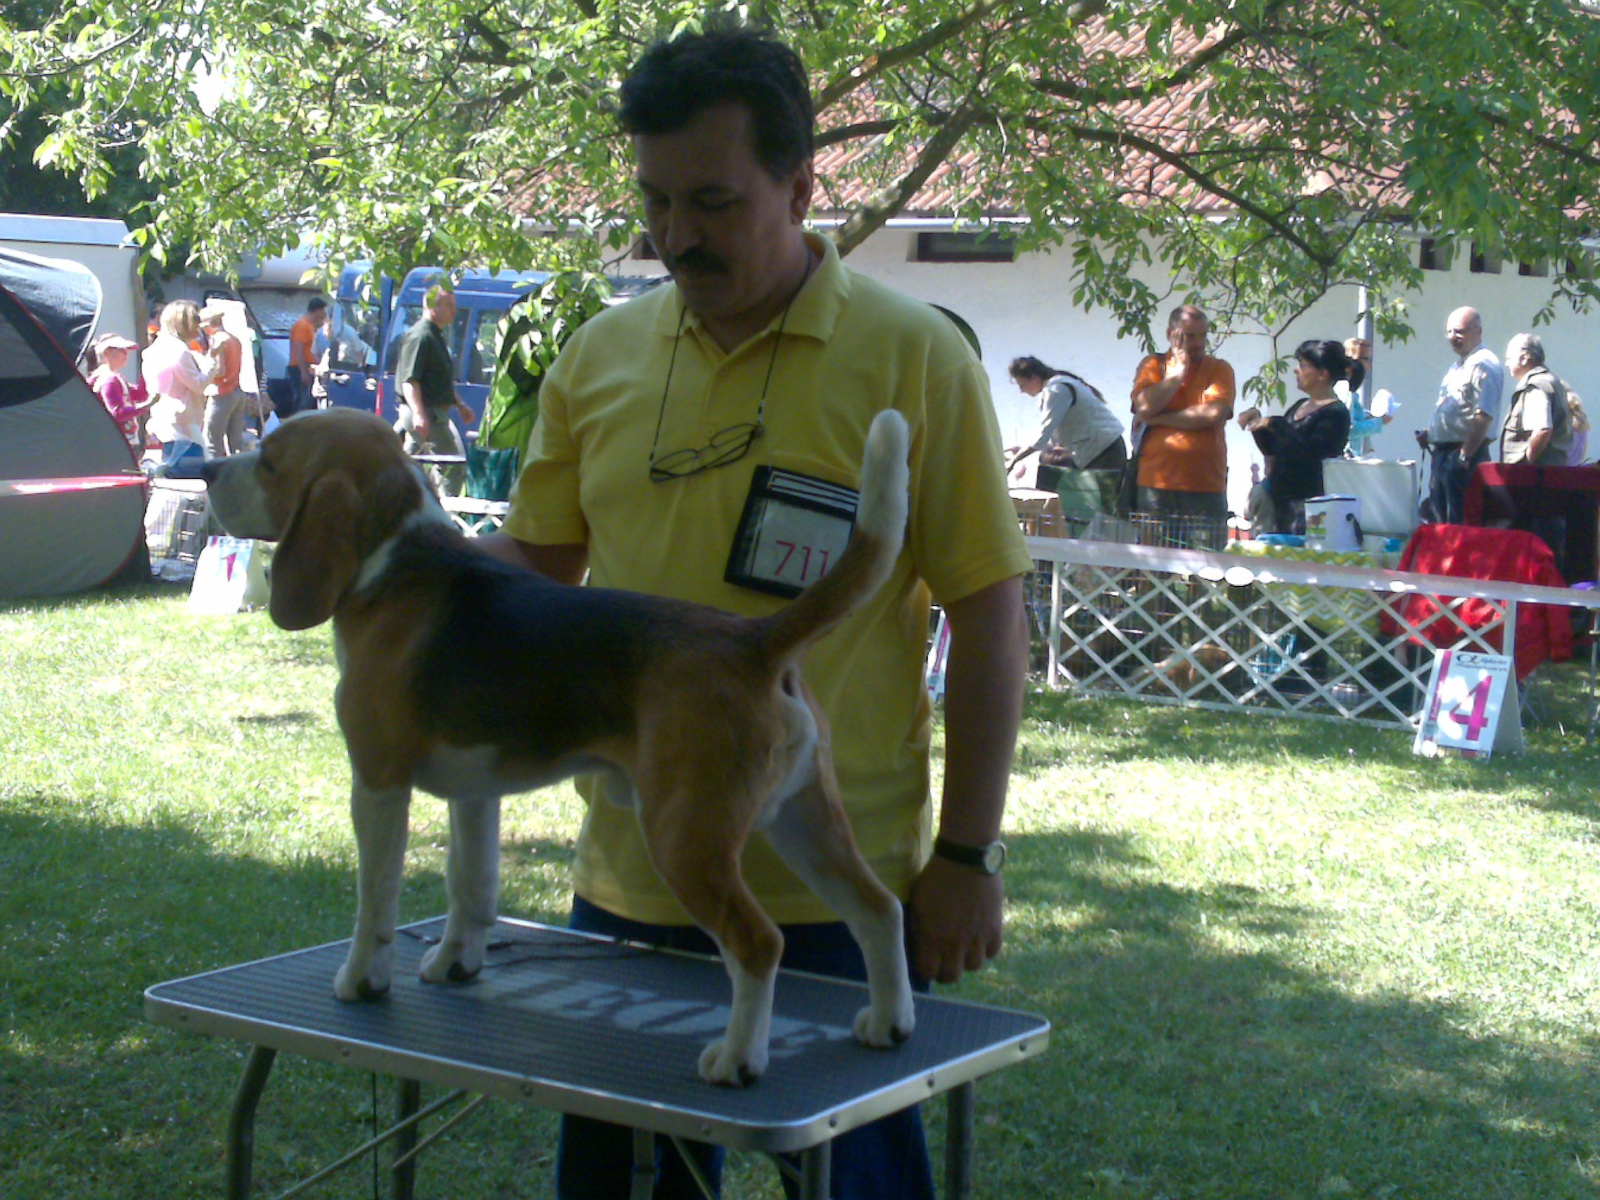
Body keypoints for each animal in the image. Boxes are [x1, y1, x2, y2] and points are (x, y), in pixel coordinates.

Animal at [203, 406, 915, 1088]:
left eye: (270, 462)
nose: (207, 470)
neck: (396, 560)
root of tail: (754, 641)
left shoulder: (377, 783)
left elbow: (374, 898)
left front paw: (362, 980)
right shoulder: (476, 791)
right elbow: (472, 885)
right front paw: (456, 962)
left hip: (685, 836)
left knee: (759, 943)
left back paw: (738, 1059)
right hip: (806, 820)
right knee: (879, 908)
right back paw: (889, 1021)